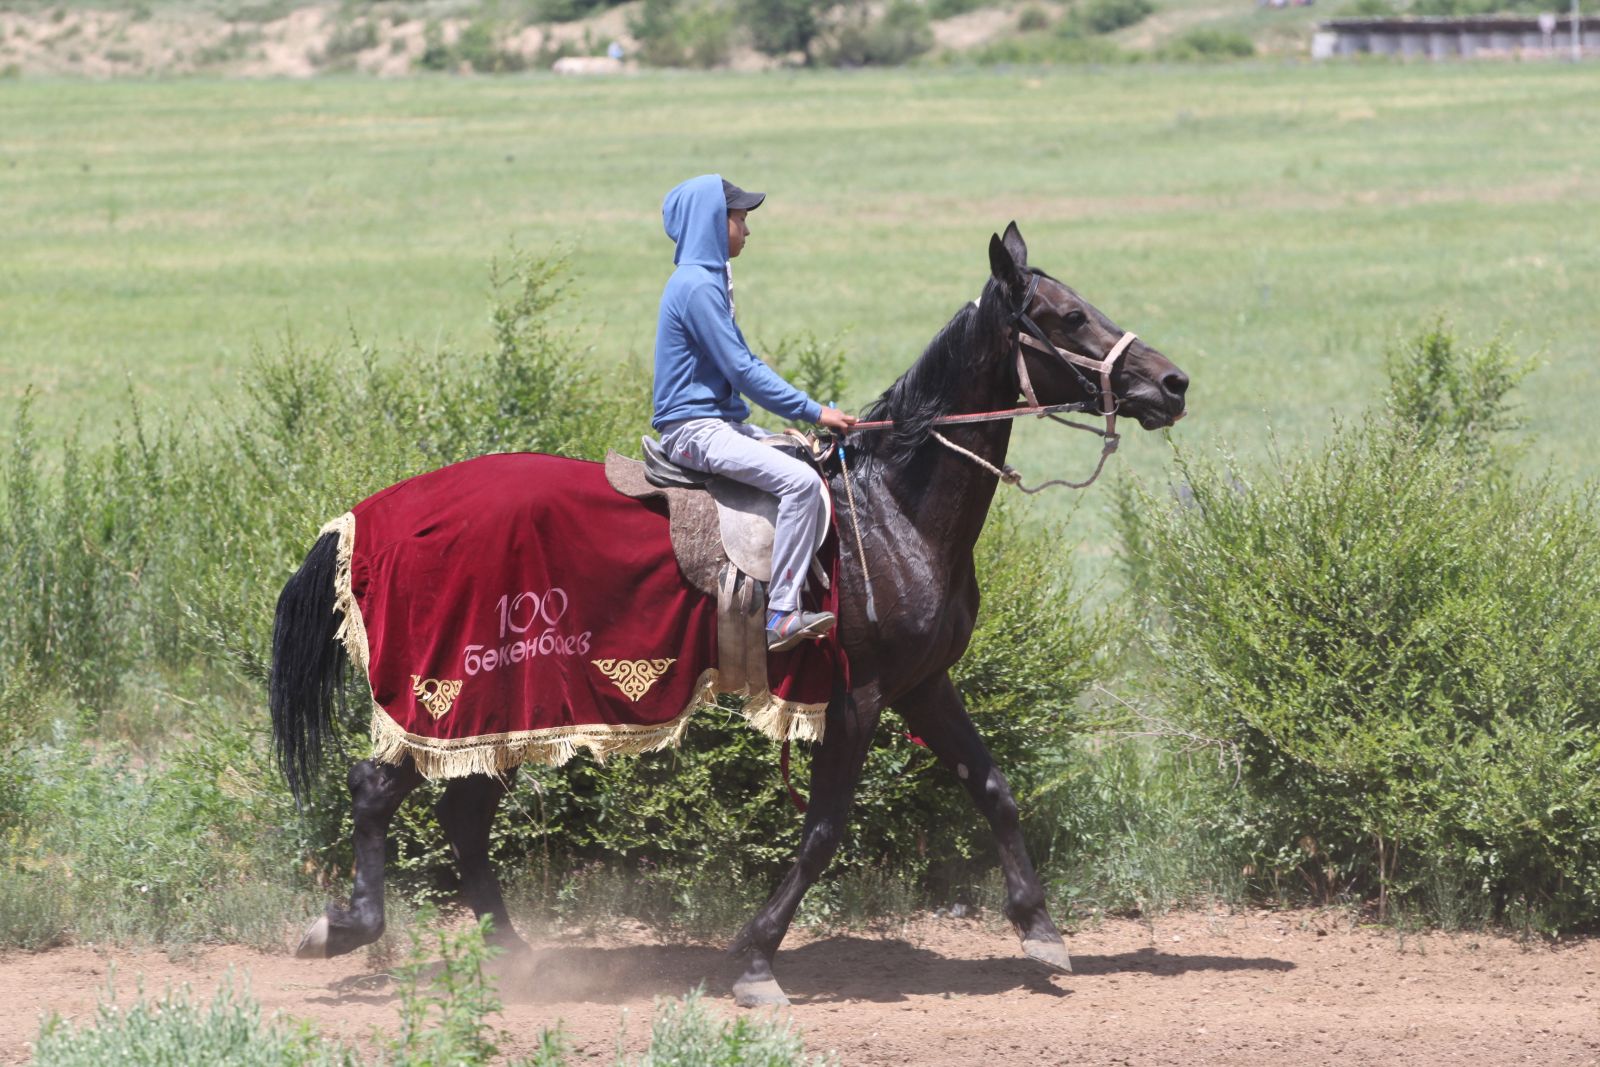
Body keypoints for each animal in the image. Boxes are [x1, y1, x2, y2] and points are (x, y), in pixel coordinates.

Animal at [265, 220, 1190, 1004]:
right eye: (1066, 315)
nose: (1173, 382)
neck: (891, 506)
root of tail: (374, 515)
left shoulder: (924, 684)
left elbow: (993, 786)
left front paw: (1040, 927)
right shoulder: (858, 696)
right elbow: (823, 829)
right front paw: (753, 958)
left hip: (501, 708)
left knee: (458, 812)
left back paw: (512, 955)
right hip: (457, 696)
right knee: (378, 788)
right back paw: (348, 925)